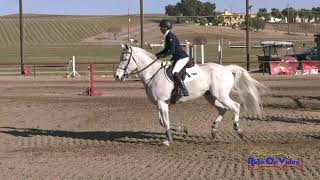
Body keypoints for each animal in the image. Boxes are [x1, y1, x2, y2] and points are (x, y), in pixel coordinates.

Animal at [115, 44, 270, 146]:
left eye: (124, 59)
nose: (117, 76)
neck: (153, 74)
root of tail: (226, 68)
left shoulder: (162, 102)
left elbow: (165, 121)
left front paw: (168, 140)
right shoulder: (160, 104)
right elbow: (162, 121)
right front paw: (182, 129)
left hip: (221, 95)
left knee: (236, 106)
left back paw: (239, 130)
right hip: (210, 96)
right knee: (223, 109)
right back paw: (214, 131)